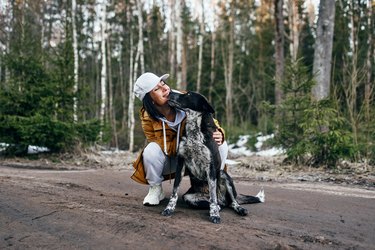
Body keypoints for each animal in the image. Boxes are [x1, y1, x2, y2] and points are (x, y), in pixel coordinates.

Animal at [162, 91, 264, 224]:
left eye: (188, 94)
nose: (169, 92)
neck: (194, 131)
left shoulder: (210, 166)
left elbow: (213, 196)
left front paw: (214, 214)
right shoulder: (181, 163)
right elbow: (174, 191)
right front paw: (169, 208)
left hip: (223, 175)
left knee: (231, 201)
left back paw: (239, 209)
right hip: (189, 197)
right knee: (220, 203)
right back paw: (218, 207)